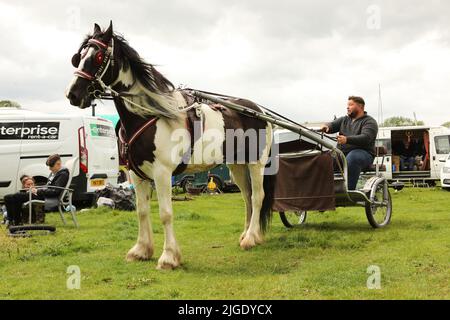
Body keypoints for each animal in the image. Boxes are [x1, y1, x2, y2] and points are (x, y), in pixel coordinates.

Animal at [64, 21, 272, 268]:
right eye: (79, 56)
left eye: (97, 57)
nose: (72, 94)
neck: (147, 114)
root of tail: (258, 110)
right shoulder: (136, 174)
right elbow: (142, 211)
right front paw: (141, 250)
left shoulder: (162, 173)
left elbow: (165, 213)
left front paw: (169, 256)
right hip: (237, 165)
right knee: (247, 196)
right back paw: (247, 234)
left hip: (256, 163)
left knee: (257, 196)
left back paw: (251, 238)